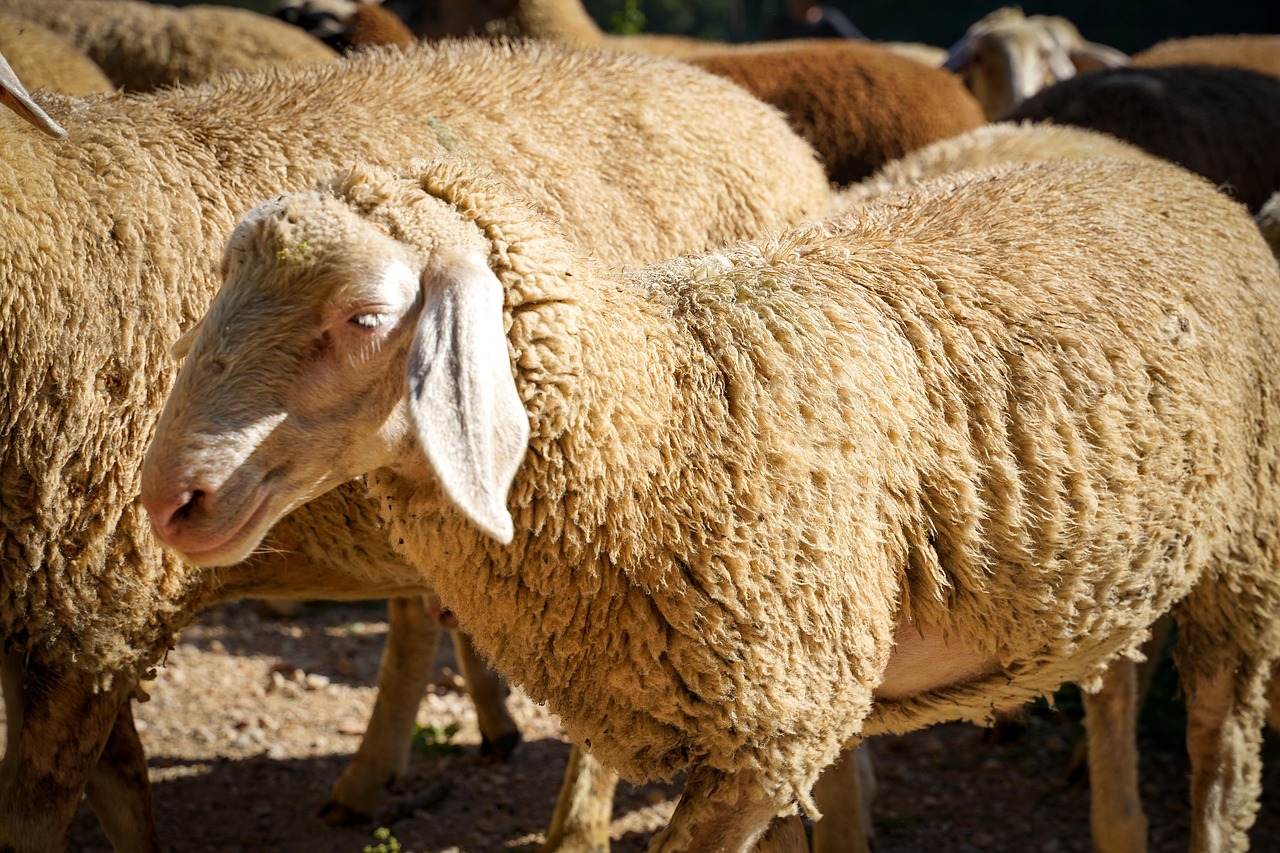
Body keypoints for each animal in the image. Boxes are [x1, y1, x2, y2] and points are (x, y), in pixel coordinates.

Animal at [0, 41, 829, 850]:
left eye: (367, 319)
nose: (168, 498)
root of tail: (754, 110)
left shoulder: (89, 606)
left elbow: (52, 806)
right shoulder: (58, 608)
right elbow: (121, 787)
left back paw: (572, 827)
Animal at [137, 154, 1280, 850]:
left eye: (365, 316)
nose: (171, 501)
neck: (664, 413)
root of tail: (1204, 188)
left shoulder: (771, 726)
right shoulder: (773, 728)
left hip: (1245, 555)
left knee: (1221, 752)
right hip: (1109, 570)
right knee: (1114, 683)